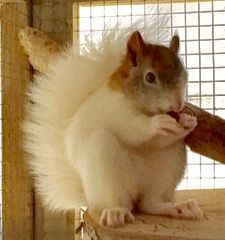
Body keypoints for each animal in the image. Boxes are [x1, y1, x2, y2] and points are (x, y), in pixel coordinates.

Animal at [24, 16, 204, 227]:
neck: (145, 108)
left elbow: (160, 140)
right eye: (150, 77)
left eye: (185, 75)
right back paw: (115, 212)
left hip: (168, 166)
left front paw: (188, 121)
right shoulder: (114, 110)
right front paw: (158, 123)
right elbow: (133, 128)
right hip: (105, 166)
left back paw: (177, 207)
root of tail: (89, 195)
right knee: (116, 202)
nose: (178, 105)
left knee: (149, 203)